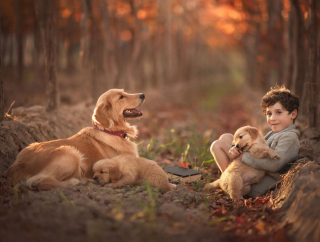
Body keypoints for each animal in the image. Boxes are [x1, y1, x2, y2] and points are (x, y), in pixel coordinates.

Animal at [4, 89, 145, 191]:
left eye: (124, 92)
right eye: (121, 97)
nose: (143, 95)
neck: (110, 131)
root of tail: (18, 165)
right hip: (71, 153)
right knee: (42, 182)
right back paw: (76, 181)